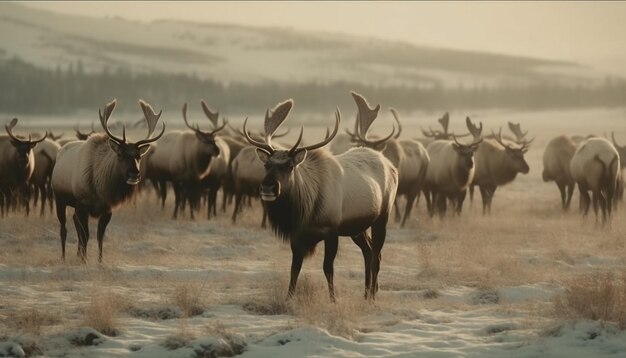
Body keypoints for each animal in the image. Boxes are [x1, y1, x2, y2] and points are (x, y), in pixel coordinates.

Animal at [51, 99, 163, 262]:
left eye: (139, 156)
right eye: (120, 154)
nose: (134, 174)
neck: (100, 188)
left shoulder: (107, 209)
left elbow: (99, 236)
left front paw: (99, 261)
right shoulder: (82, 204)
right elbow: (85, 235)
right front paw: (84, 260)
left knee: (75, 223)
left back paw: (77, 254)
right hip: (60, 198)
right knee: (63, 229)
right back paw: (64, 257)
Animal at [243, 99, 394, 300]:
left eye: (290, 166)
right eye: (267, 165)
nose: (268, 187)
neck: (306, 210)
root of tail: (390, 164)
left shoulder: (331, 230)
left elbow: (328, 268)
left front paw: (333, 299)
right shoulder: (297, 235)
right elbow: (294, 268)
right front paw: (289, 297)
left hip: (382, 217)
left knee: (377, 254)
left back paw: (372, 296)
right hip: (357, 228)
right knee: (368, 251)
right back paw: (367, 292)